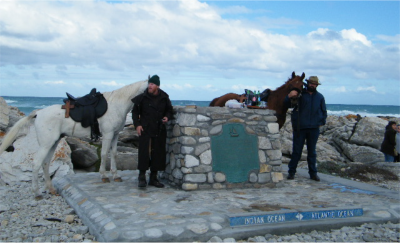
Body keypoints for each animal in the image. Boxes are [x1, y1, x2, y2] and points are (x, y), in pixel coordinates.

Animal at [0, 79, 148, 199]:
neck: (116, 104)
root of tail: (39, 113)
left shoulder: (115, 135)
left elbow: (114, 154)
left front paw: (116, 175)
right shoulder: (108, 134)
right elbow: (105, 154)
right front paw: (104, 176)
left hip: (53, 143)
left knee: (45, 163)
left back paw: (51, 189)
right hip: (45, 144)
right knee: (36, 164)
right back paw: (36, 193)